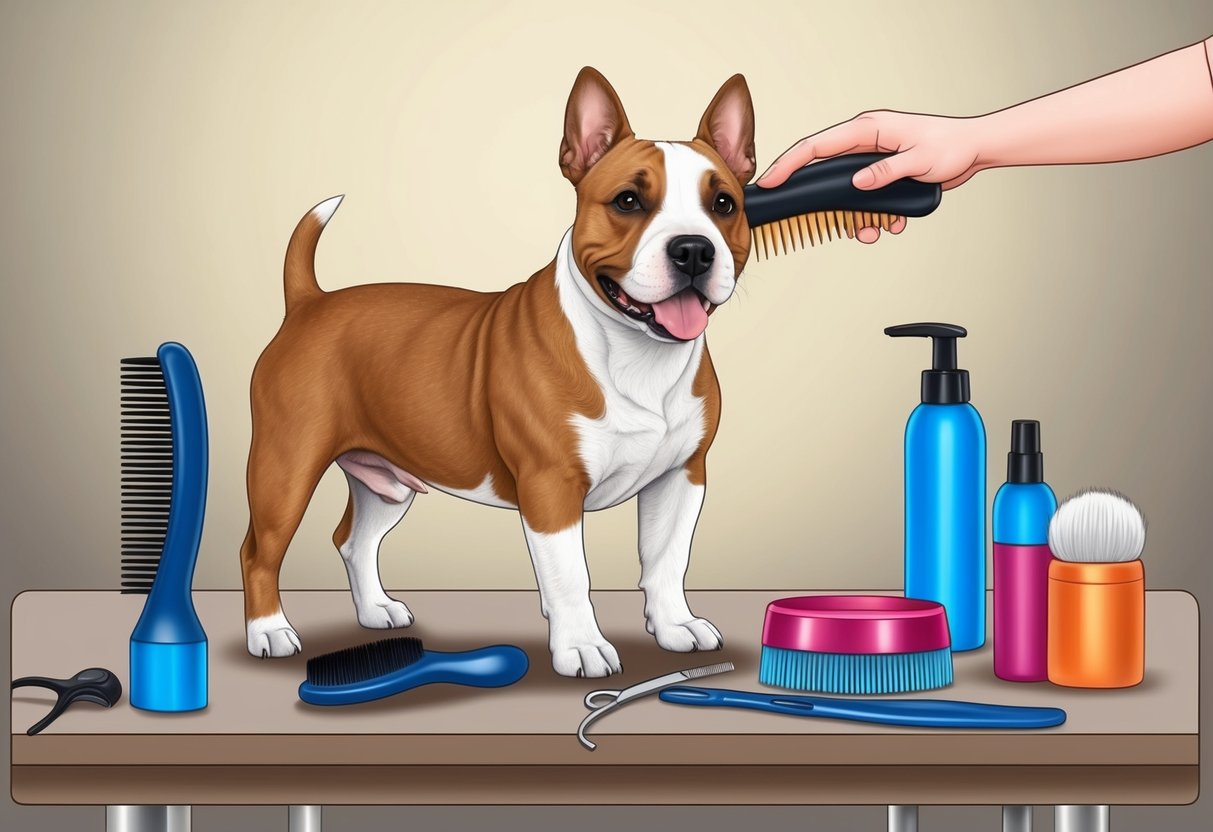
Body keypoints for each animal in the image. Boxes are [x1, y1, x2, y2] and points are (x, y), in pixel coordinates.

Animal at [240, 66, 752, 679]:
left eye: (724, 204)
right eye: (628, 200)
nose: (694, 249)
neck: (637, 356)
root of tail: (310, 302)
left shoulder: (681, 477)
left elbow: (667, 559)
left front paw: (676, 626)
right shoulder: (552, 487)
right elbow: (570, 576)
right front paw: (581, 645)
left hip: (386, 479)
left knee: (353, 539)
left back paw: (376, 612)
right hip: (286, 468)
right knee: (260, 551)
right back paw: (269, 632)